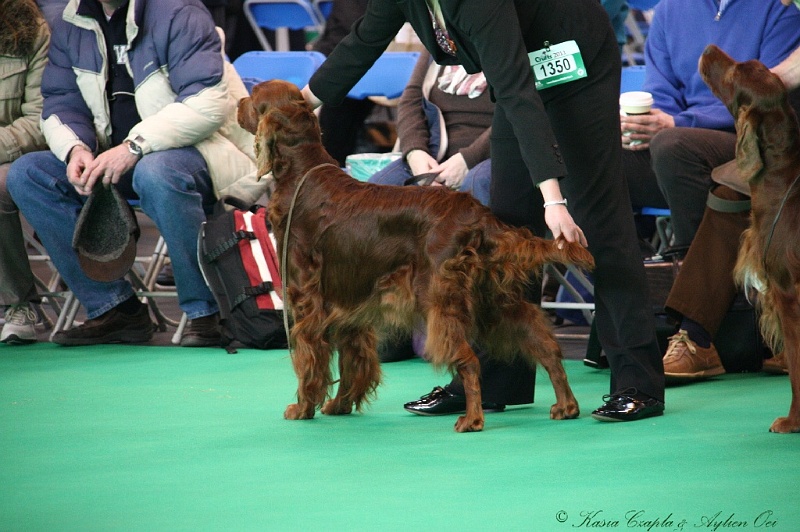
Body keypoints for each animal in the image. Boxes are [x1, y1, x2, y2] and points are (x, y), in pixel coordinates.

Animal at [238, 80, 592, 432]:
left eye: (254, 97)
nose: (239, 102)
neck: (302, 172)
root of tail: (478, 213)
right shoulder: (349, 299)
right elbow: (354, 357)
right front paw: (340, 405)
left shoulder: (306, 298)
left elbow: (309, 356)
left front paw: (302, 407)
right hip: (492, 298)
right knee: (545, 345)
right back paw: (566, 405)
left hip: (439, 300)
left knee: (469, 360)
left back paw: (472, 418)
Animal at [700, 42, 800, 432]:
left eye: (734, 73)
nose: (710, 47)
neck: (780, 180)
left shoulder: (787, 295)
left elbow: (797, 370)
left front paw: (792, 421)